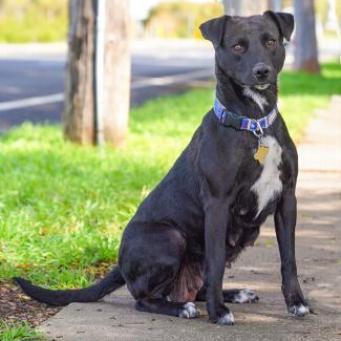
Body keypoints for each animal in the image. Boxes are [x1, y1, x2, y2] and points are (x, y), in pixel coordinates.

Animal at [15, 11, 308, 324]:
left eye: (271, 41)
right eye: (238, 46)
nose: (262, 71)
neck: (253, 123)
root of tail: (120, 263)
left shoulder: (287, 199)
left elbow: (289, 259)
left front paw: (296, 303)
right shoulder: (218, 204)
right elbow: (216, 263)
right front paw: (218, 313)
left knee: (199, 286)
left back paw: (234, 294)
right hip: (170, 237)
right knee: (144, 299)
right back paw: (182, 308)